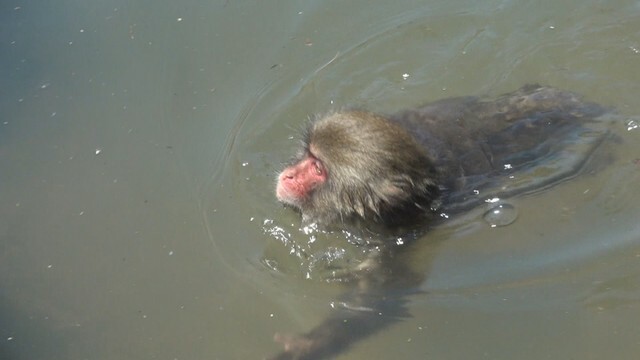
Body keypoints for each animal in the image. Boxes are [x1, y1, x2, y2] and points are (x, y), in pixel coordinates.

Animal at [268, 85, 612, 360]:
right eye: (307, 155)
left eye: (317, 168)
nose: (289, 175)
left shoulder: (399, 242)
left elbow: (377, 303)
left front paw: (311, 345)